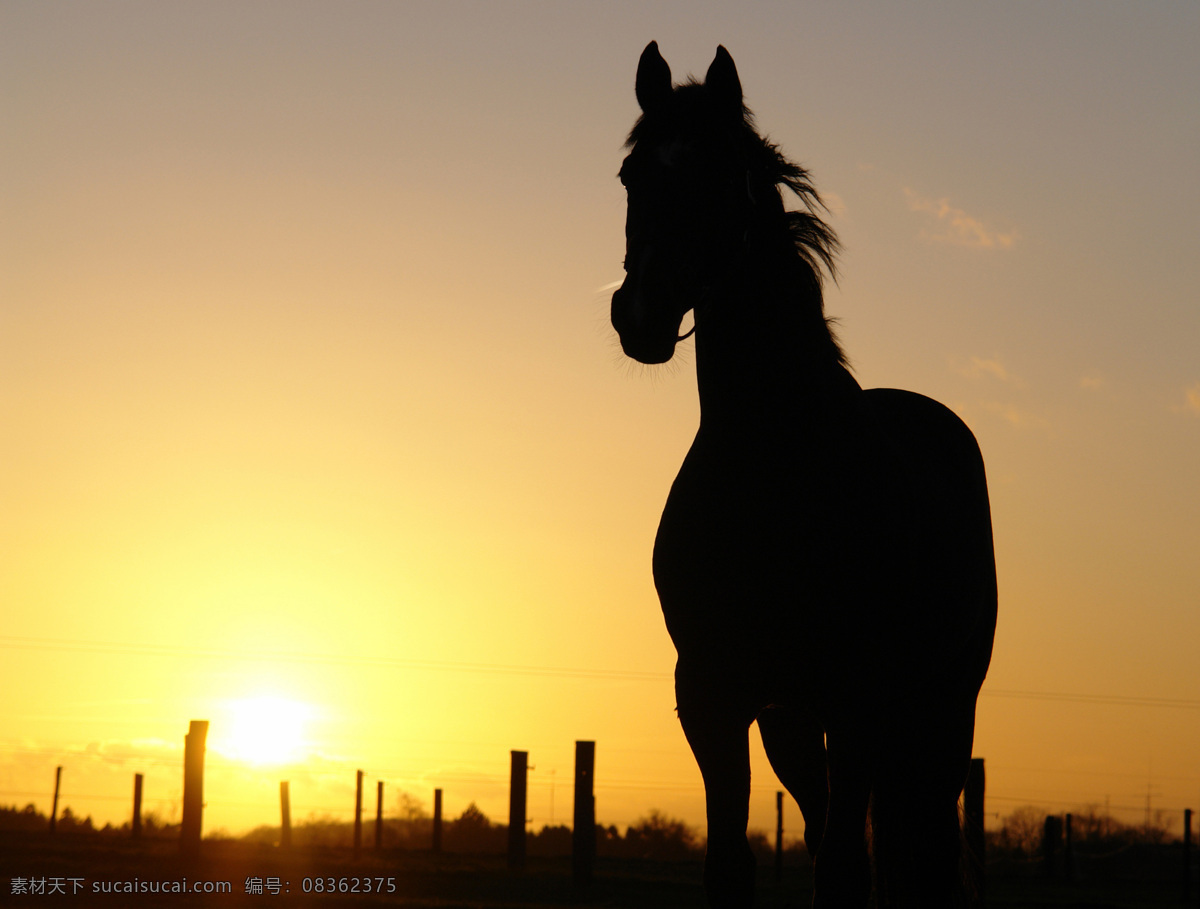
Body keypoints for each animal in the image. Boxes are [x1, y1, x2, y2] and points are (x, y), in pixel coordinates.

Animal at [610, 42, 997, 908]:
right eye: (631, 175)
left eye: (723, 175)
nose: (640, 314)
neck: (773, 467)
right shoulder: (713, 696)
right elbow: (731, 864)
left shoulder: (856, 698)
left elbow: (843, 872)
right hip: (794, 721)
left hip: (939, 710)